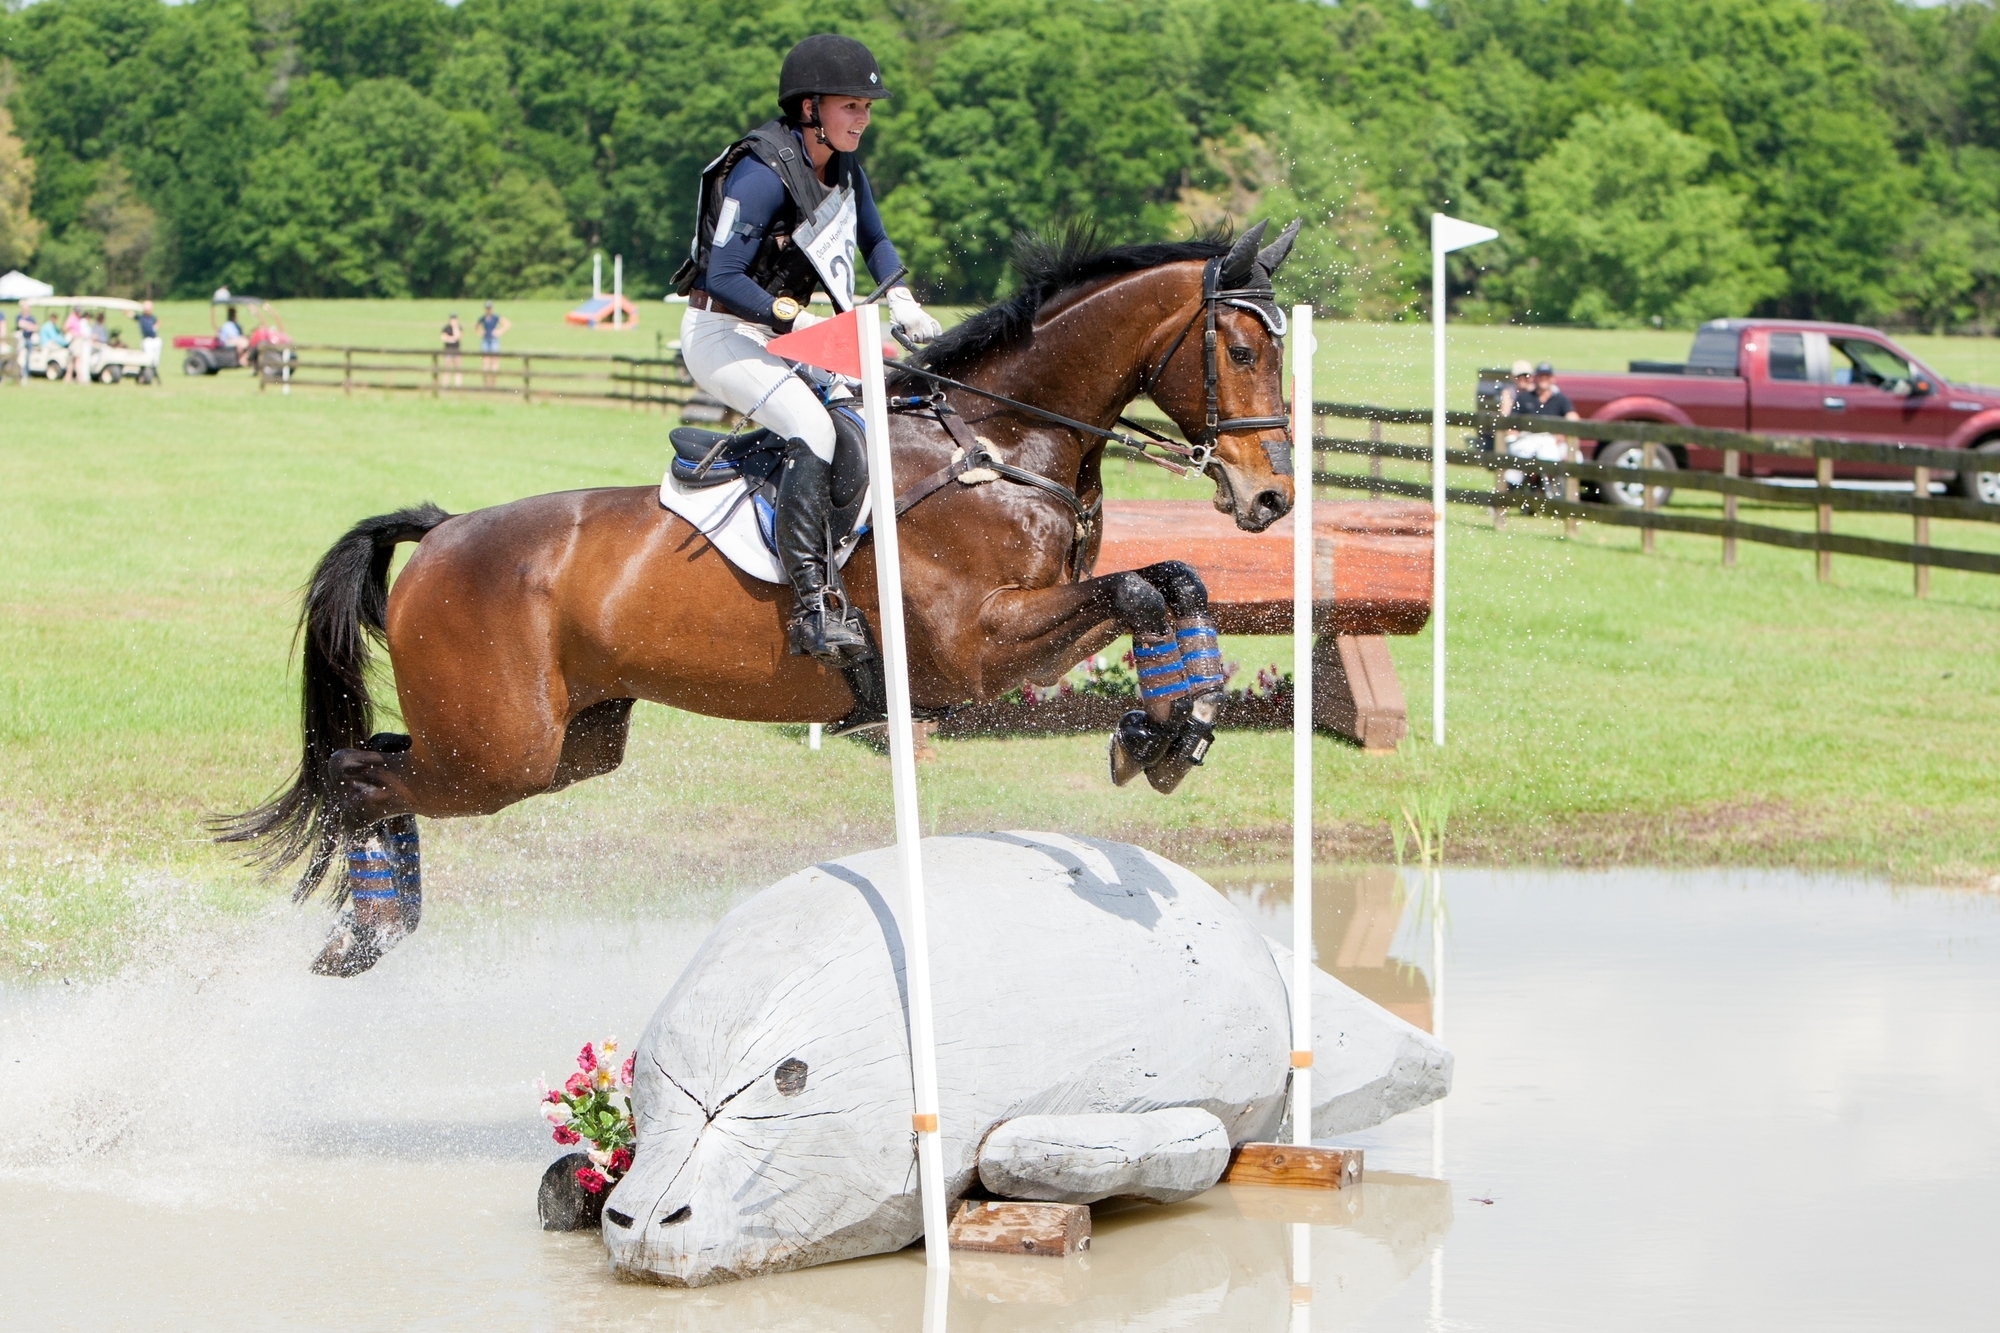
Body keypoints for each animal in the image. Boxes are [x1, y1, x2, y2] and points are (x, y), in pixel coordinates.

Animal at [217, 221, 1302, 976]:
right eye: (1242, 350)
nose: (1271, 498)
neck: (997, 444)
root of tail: (440, 532)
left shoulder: (1035, 618)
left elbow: (1173, 581)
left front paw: (1178, 723)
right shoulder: (976, 645)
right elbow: (1141, 592)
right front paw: (1157, 734)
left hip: (560, 743)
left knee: (375, 760)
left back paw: (373, 922)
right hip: (498, 752)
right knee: (358, 774)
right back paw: (369, 929)